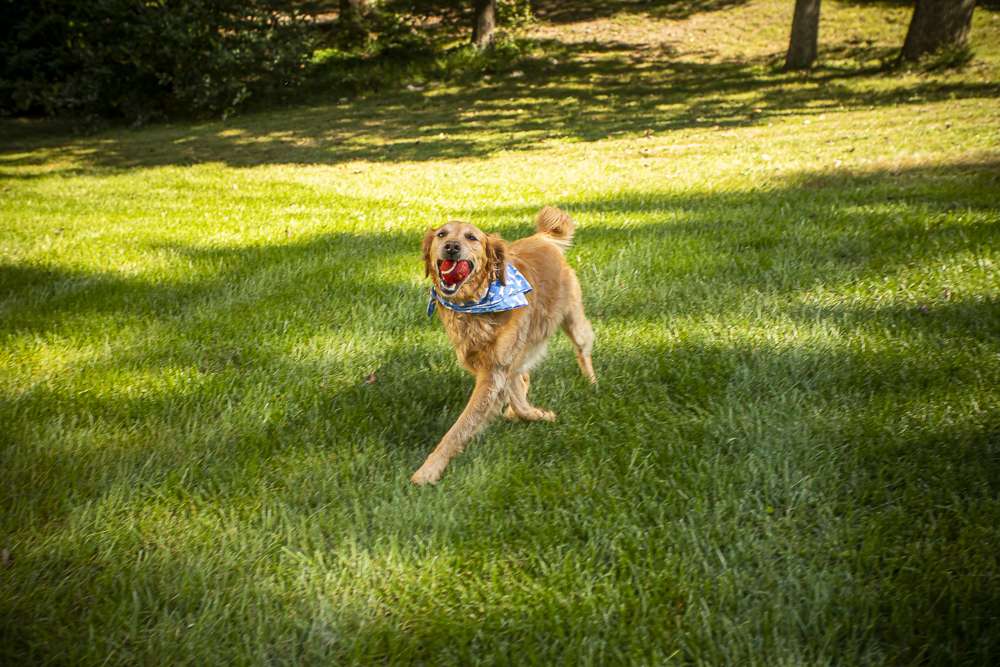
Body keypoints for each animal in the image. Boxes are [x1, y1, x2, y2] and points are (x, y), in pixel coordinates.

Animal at [408, 205, 592, 486]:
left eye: (471, 237)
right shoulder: (493, 367)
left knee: (583, 349)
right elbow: (515, 397)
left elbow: (460, 428)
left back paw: (593, 384)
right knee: (523, 377)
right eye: (442, 234)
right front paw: (534, 414)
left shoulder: (495, 371)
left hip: (572, 320)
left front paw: (429, 470)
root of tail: (541, 238)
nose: (451, 247)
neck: (475, 307)